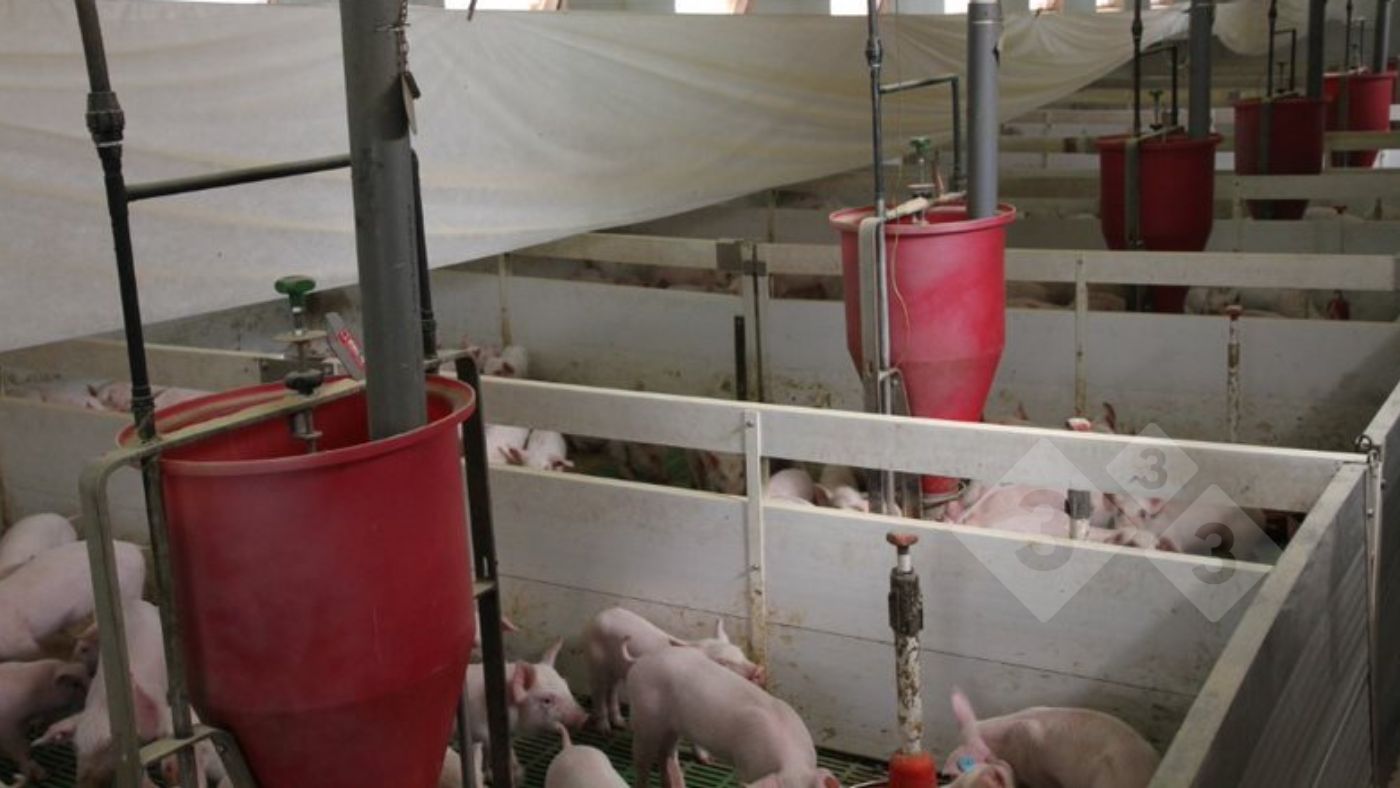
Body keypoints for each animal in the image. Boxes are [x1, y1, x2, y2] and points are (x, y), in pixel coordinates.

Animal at [583, 608, 764, 734]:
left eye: (740, 651)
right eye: (722, 662)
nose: (758, 670)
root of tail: (596, 618)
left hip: (614, 670)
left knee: (611, 690)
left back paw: (621, 724)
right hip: (595, 663)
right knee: (597, 692)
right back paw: (605, 730)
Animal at [625, 646, 838, 788]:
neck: (793, 763)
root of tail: (642, 659)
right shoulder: (747, 765)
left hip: (671, 726)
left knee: (666, 755)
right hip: (645, 716)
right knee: (641, 760)